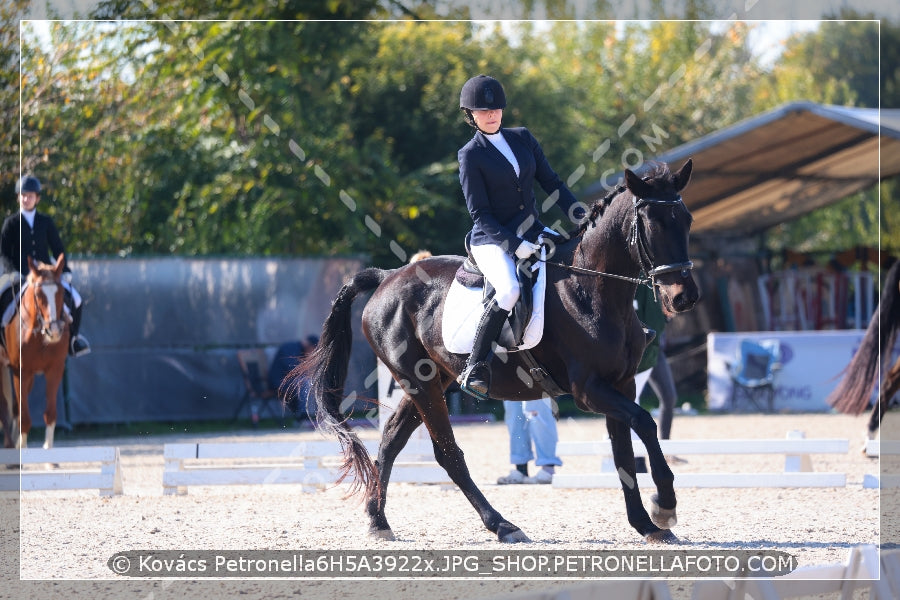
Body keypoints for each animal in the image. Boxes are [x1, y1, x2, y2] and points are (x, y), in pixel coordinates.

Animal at [0, 255, 70, 448]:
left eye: (61, 292)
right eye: (39, 295)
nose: (54, 331)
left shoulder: (55, 370)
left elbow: (50, 415)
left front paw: (48, 452)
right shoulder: (21, 371)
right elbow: (24, 418)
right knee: (6, 406)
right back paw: (10, 445)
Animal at [284, 159, 700, 544]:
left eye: (686, 219)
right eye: (652, 225)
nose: (685, 297)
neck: (592, 290)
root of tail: (387, 277)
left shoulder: (621, 384)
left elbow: (624, 453)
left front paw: (647, 524)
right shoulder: (589, 390)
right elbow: (644, 423)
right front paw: (665, 506)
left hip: (432, 380)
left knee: (391, 440)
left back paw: (378, 520)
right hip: (420, 384)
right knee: (447, 454)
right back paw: (502, 525)